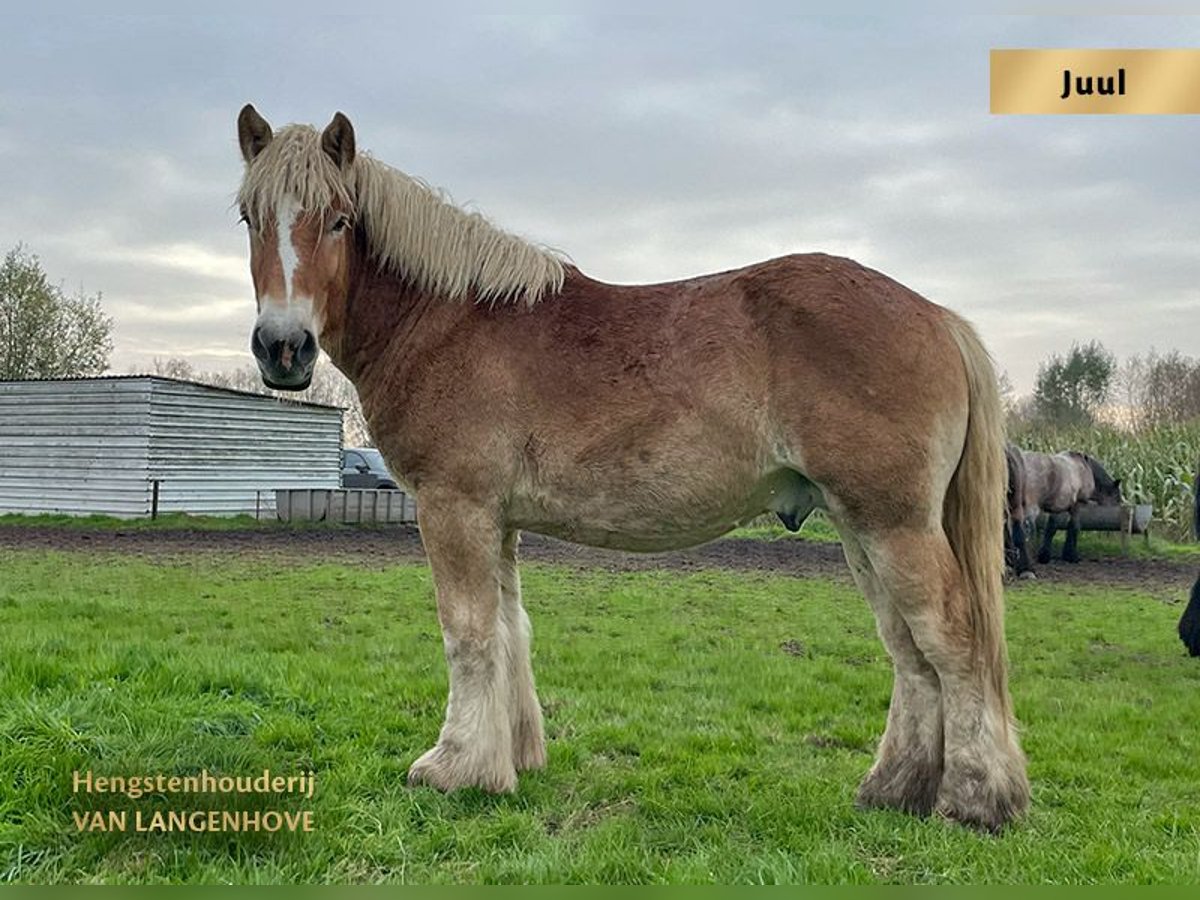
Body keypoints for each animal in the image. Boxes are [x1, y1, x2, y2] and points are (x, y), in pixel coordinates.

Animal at [236, 103, 1032, 830]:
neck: (448, 321)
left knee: (951, 639)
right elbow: (510, 630)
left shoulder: (453, 507)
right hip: (861, 526)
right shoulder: (497, 521)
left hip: (894, 524)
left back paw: (973, 800)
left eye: (339, 220)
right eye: (249, 217)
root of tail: (937, 317)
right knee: (907, 649)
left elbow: (467, 633)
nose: (284, 347)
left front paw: (455, 768)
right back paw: (895, 790)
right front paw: (512, 757)